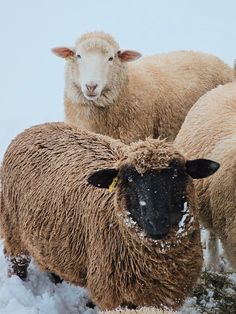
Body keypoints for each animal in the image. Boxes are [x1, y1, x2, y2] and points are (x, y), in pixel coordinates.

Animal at [0, 122, 220, 310]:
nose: (156, 221)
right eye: (128, 180)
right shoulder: (112, 296)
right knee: (16, 262)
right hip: (13, 228)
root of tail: (33, 128)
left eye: (177, 175)